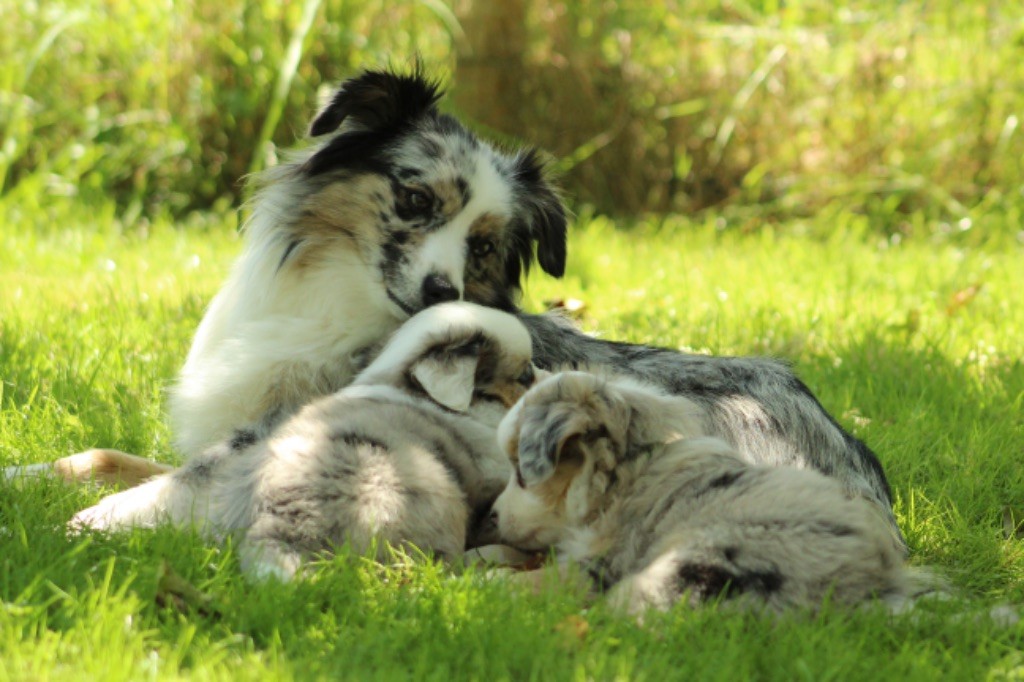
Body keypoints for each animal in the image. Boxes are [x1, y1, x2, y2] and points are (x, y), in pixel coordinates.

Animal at [487, 368, 929, 614]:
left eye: (522, 474)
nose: (489, 515)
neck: (629, 472)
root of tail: (874, 589)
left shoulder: (602, 564)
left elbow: (540, 580)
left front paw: (485, 584)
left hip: (687, 566)